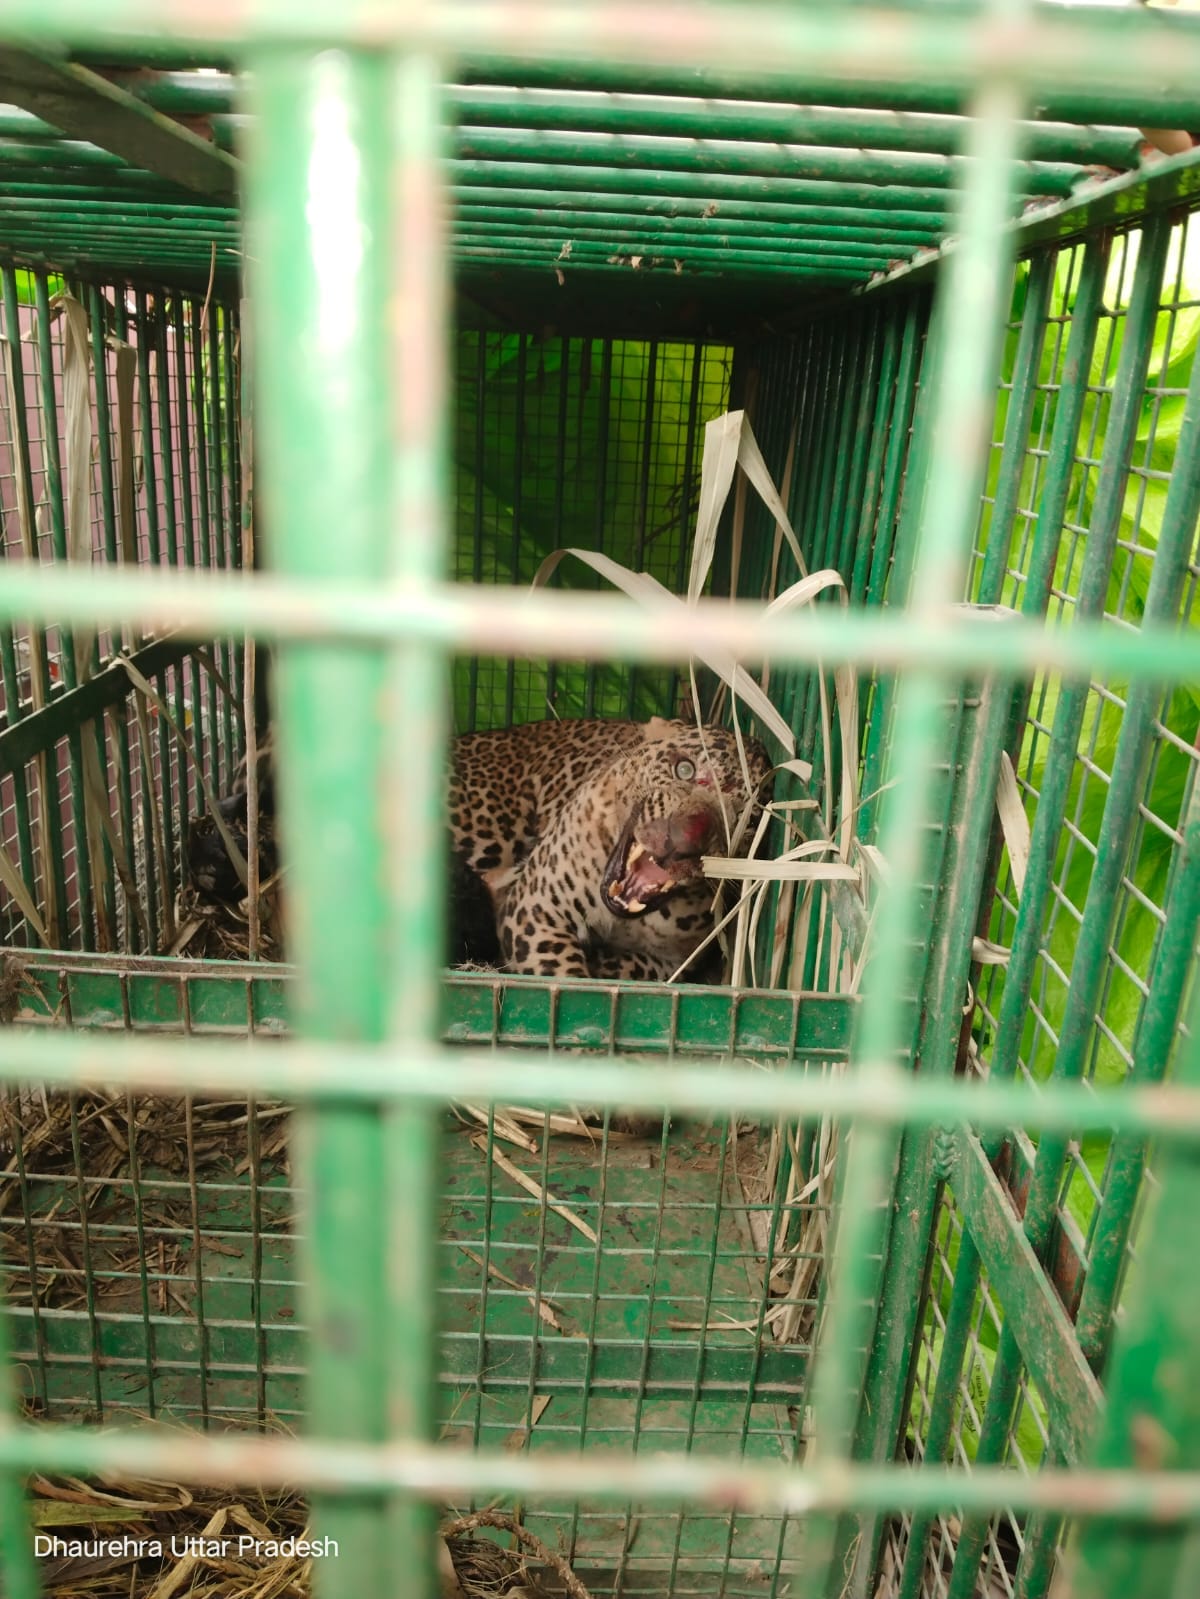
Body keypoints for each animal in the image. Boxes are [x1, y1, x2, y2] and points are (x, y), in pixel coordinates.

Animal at [449, 716, 773, 982]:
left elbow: (634, 969)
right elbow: (564, 978)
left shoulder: (674, 963)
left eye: (747, 820)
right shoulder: (536, 910)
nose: (685, 839)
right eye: (685, 769)